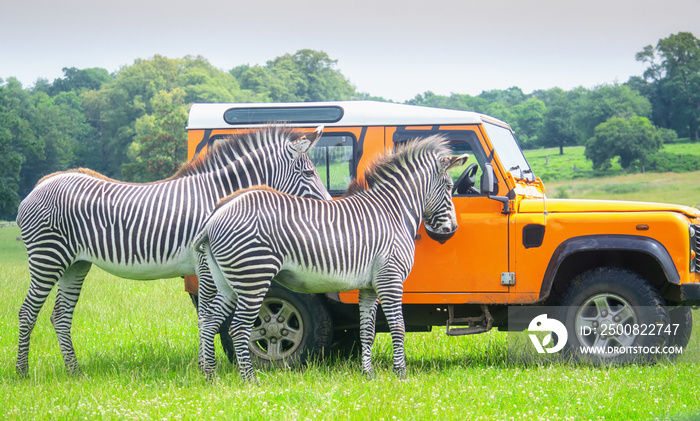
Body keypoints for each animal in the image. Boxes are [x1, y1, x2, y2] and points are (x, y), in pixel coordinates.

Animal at [15, 124, 332, 374]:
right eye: (308, 173)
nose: (327, 207)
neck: (220, 198)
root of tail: (42, 183)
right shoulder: (204, 263)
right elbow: (206, 316)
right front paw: (207, 369)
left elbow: (207, 316)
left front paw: (205, 366)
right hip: (47, 257)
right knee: (28, 312)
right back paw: (23, 372)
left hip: (75, 263)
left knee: (60, 315)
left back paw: (74, 372)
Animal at [194, 135, 468, 380]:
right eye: (449, 187)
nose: (452, 228)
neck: (393, 212)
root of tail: (215, 215)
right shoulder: (390, 279)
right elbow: (397, 326)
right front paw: (401, 374)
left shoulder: (369, 286)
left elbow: (367, 330)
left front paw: (368, 374)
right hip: (254, 278)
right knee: (238, 328)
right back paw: (250, 379)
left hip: (228, 283)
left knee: (209, 322)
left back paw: (210, 375)